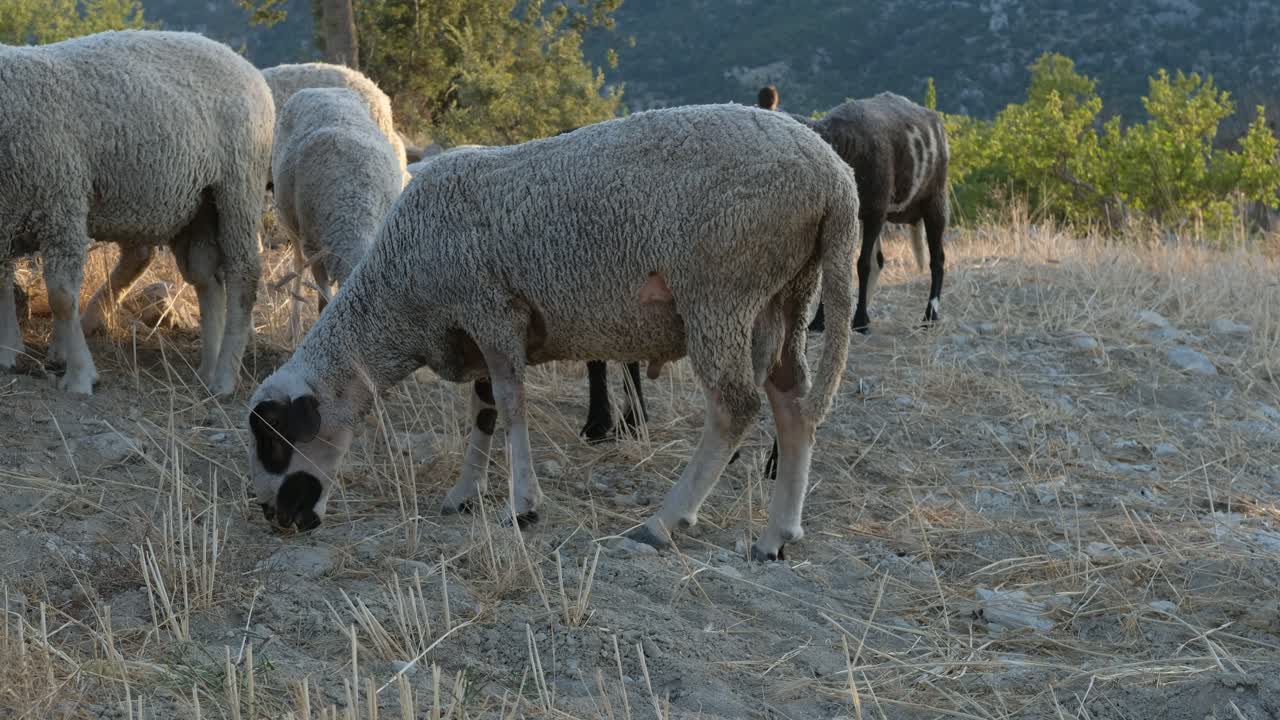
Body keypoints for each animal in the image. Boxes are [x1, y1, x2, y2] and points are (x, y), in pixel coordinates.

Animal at [0, 29, 273, 396]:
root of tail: (246, 66)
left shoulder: (61, 201)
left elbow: (60, 296)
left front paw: (80, 376)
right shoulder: (5, 217)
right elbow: (2, 283)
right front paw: (7, 353)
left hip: (239, 186)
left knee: (243, 275)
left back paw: (225, 379)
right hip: (199, 205)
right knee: (206, 277)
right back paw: (207, 368)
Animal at [797, 92, 949, 334]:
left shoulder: (876, 212)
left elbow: (863, 264)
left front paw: (860, 321)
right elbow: (834, 266)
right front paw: (820, 321)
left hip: (934, 199)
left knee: (938, 260)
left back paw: (930, 316)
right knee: (879, 260)